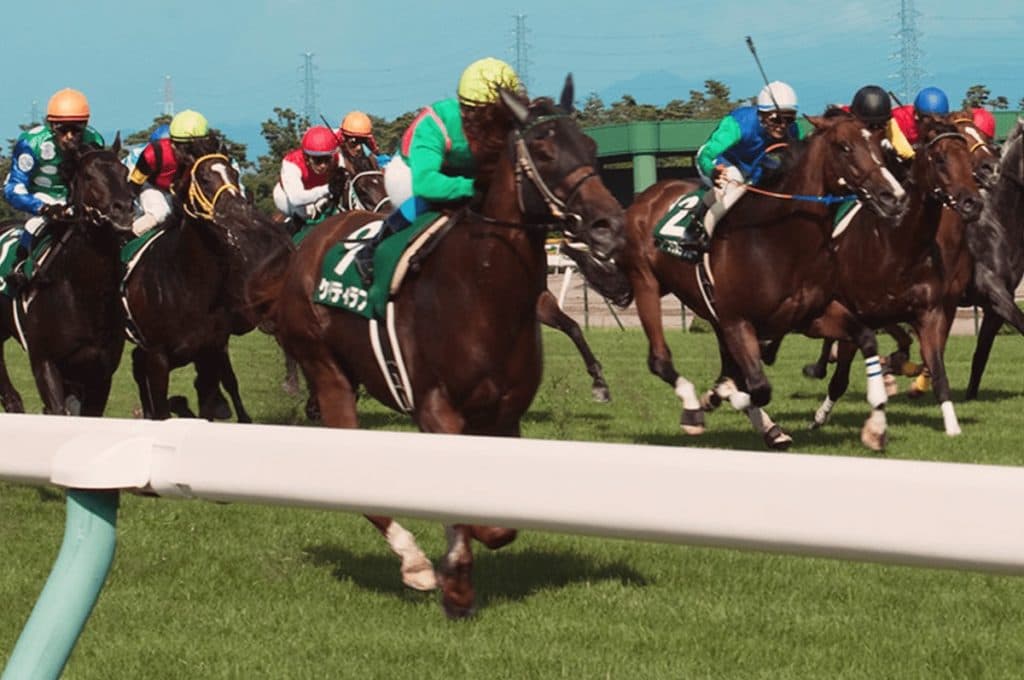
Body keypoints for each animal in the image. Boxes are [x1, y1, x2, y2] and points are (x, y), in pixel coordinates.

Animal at [124, 152, 292, 421]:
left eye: (234, 173)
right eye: (203, 179)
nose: (238, 209)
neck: (188, 285)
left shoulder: (210, 348)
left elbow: (215, 394)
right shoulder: (159, 355)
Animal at [246, 77, 627, 617]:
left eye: (592, 148)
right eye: (543, 149)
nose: (609, 226)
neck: (480, 289)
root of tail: (307, 247)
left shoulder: (505, 414)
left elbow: (498, 522)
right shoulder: (435, 406)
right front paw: (455, 581)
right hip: (326, 367)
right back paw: (414, 563)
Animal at [613, 112, 908, 450]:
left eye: (880, 145)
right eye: (844, 147)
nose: (894, 197)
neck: (781, 238)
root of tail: (645, 197)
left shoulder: (810, 316)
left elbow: (867, 338)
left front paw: (876, 426)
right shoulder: (738, 321)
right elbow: (757, 387)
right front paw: (718, 396)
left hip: (710, 313)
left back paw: (765, 426)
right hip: (646, 283)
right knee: (660, 360)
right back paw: (694, 407)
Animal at [808, 115, 983, 435]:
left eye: (967, 158)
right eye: (940, 159)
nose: (972, 203)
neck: (897, 245)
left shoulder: (930, 313)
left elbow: (937, 369)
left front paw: (952, 426)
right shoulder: (856, 315)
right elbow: (840, 379)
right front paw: (818, 418)